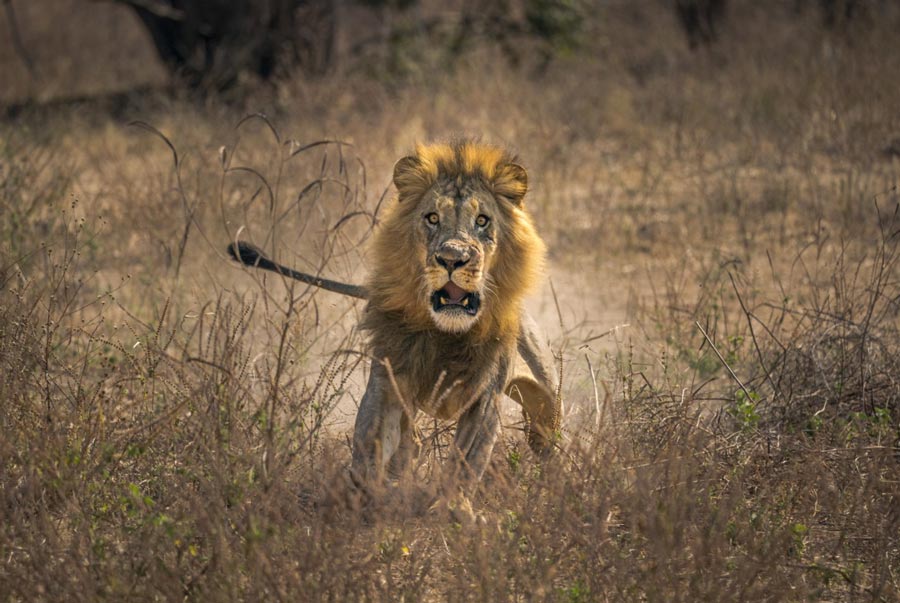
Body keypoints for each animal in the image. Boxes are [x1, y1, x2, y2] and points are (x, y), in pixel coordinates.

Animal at [229, 140, 560, 490]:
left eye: (482, 221)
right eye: (432, 218)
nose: (452, 258)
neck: (447, 334)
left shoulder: (484, 399)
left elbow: (462, 467)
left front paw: (449, 501)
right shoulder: (388, 383)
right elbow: (371, 448)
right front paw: (369, 493)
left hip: (546, 402)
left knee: (547, 435)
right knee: (409, 444)